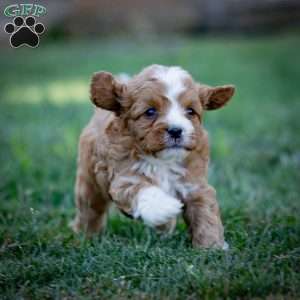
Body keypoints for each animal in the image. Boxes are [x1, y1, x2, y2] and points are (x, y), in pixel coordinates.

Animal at [70, 63, 234, 248]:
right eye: (150, 111)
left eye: (190, 111)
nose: (176, 130)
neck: (162, 160)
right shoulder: (124, 179)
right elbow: (144, 190)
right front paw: (166, 207)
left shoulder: (195, 185)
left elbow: (206, 214)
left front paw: (212, 247)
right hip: (88, 183)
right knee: (90, 210)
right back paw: (85, 236)